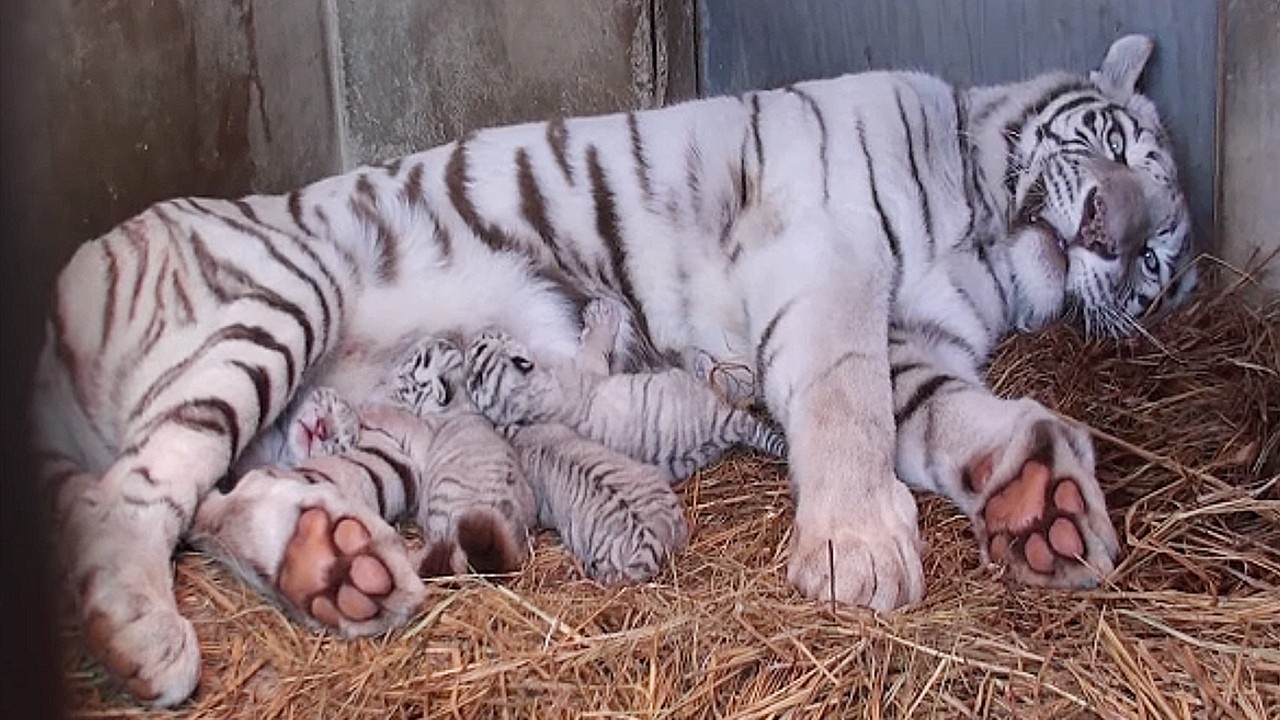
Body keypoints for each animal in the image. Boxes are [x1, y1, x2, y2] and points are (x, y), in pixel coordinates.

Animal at [468, 297, 788, 476]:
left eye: (480, 347)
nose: (481, 332)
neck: (529, 400)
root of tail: (723, 426)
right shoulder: (587, 368)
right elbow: (594, 345)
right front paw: (602, 313)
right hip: (687, 387)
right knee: (717, 385)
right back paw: (702, 362)